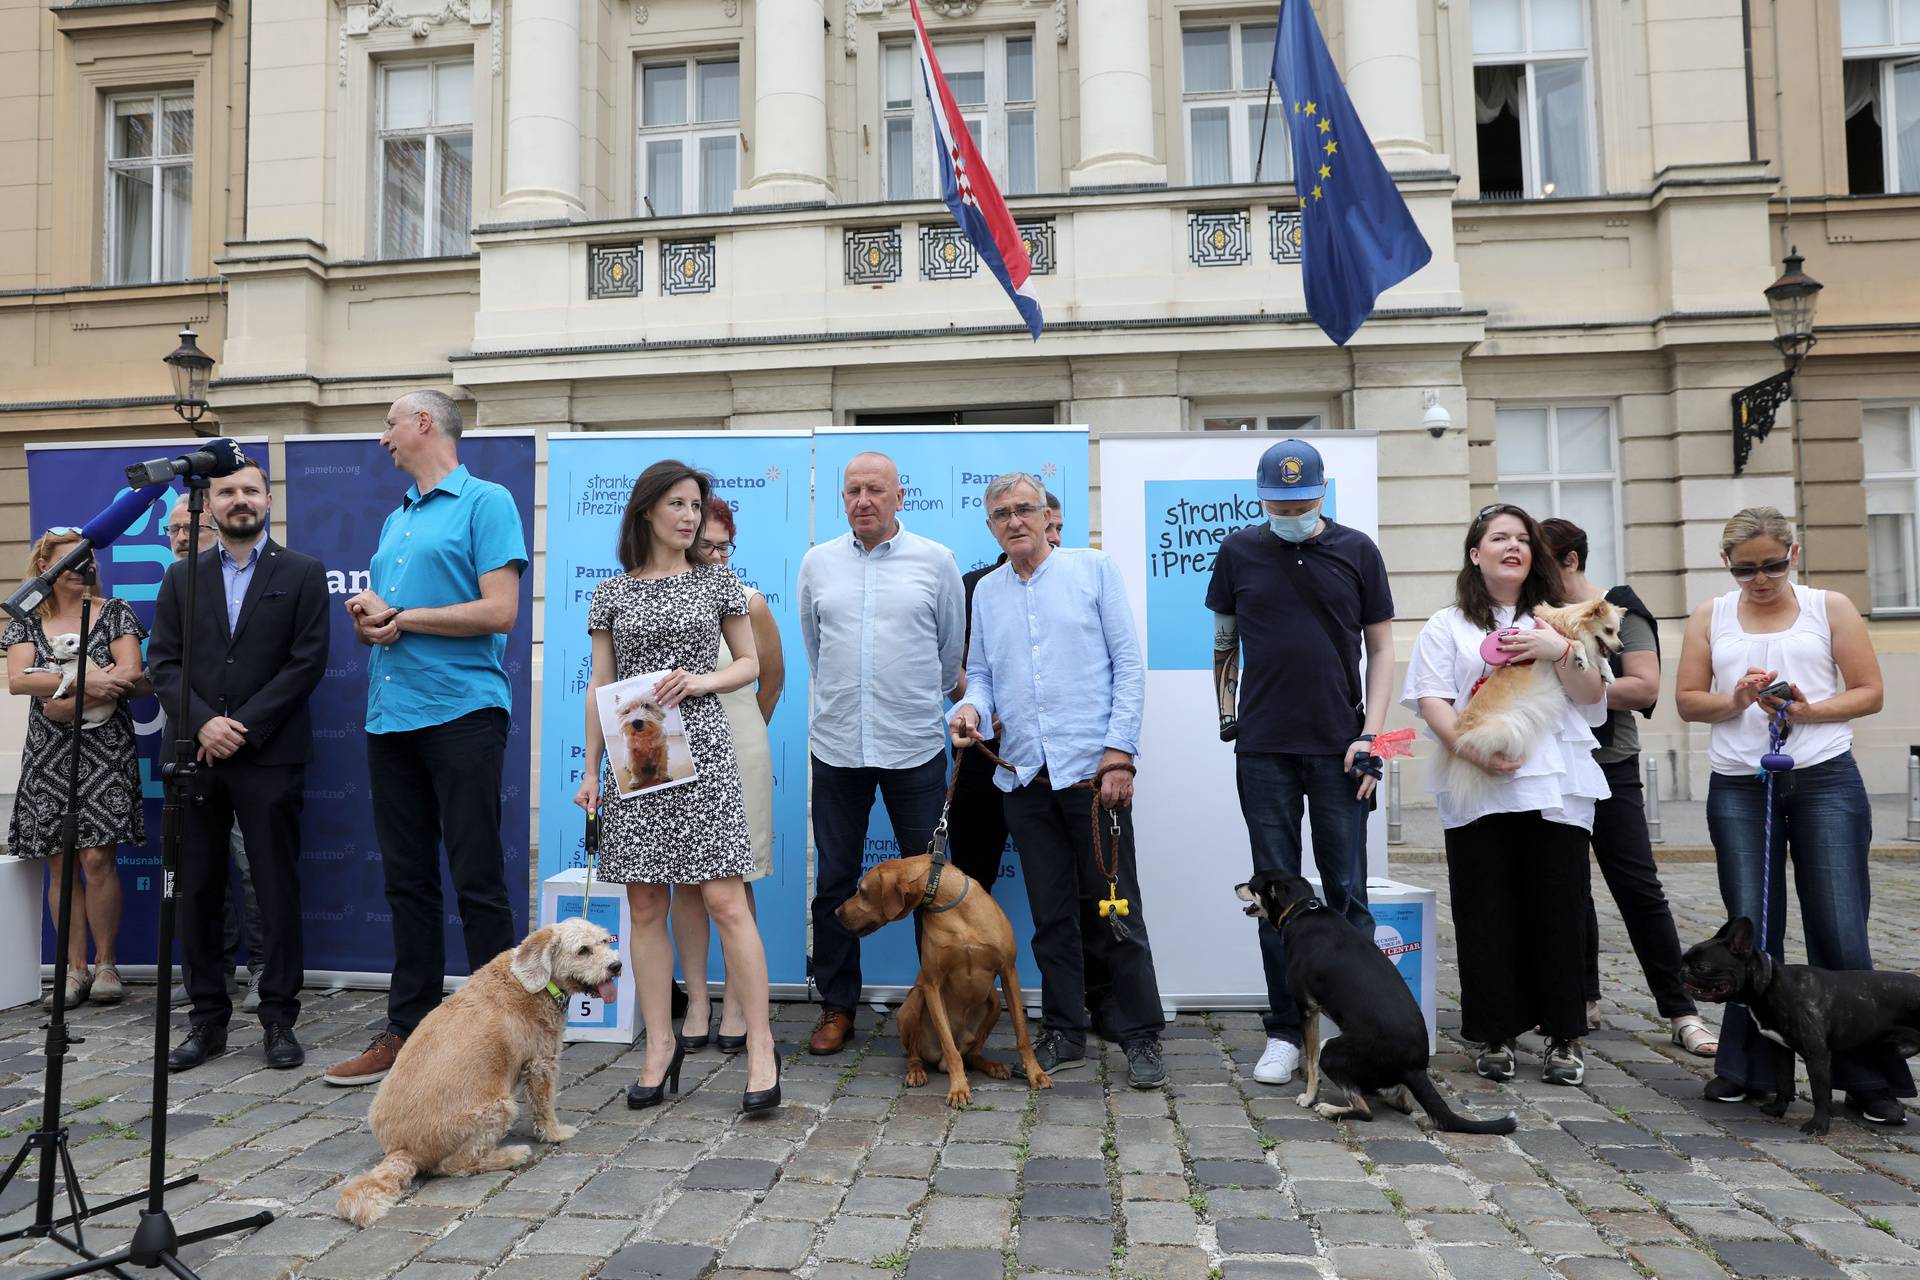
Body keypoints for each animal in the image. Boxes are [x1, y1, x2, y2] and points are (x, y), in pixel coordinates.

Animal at [334, 917, 622, 1228]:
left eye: (605, 941)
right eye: (583, 950)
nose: (616, 966)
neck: (533, 983)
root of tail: (402, 1149)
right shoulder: (541, 1064)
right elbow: (544, 1107)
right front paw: (556, 1133)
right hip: (499, 1108)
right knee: (455, 1165)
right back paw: (512, 1154)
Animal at [837, 855, 1052, 1105]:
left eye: (861, 891)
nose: (836, 912)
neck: (953, 908)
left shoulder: (1008, 971)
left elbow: (1022, 1036)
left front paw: (1036, 1074)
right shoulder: (932, 984)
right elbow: (949, 1046)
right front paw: (959, 1088)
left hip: (995, 1003)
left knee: (973, 1054)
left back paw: (993, 1066)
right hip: (915, 1000)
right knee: (917, 1054)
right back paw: (916, 1072)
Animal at [1443, 594, 1620, 805]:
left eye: (1617, 632)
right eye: (1609, 630)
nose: (1621, 647)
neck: (1566, 626)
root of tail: (1462, 731)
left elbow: (1597, 657)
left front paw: (1608, 673)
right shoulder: (1562, 639)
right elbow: (1578, 645)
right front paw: (1581, 659)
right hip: (1502, 726)